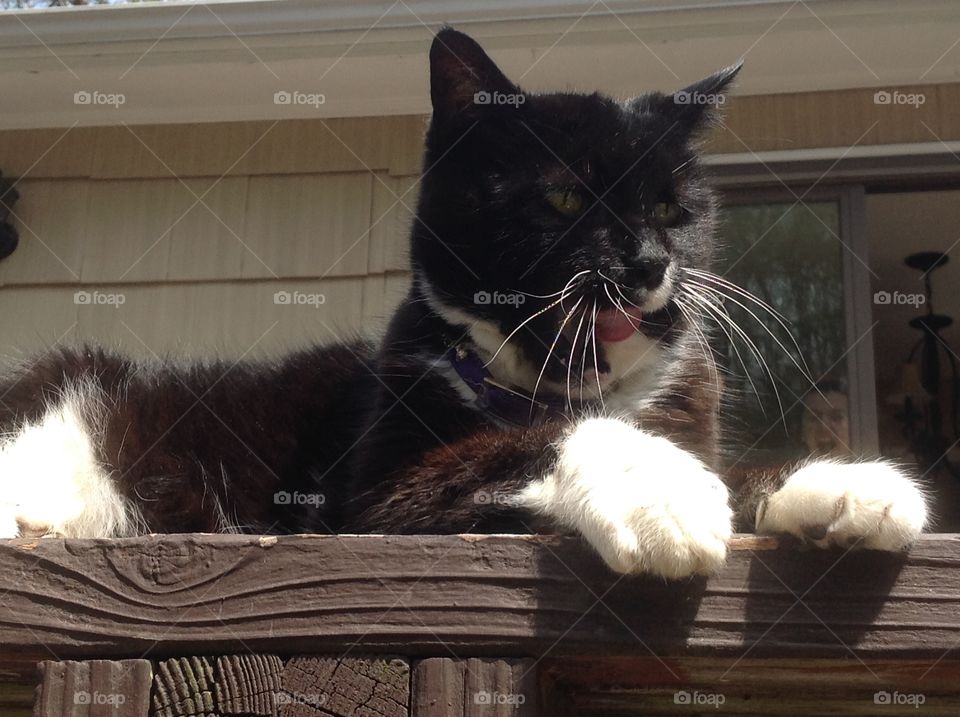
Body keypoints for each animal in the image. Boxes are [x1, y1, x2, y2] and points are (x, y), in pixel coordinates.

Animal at [1, 28, 928, 580]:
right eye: (561, 196)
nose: (645, 261)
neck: (550, 380)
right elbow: (515, 444)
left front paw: (846, 485)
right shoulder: (377, 500)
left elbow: (729, 465)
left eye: (673, 208)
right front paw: (659, 487)